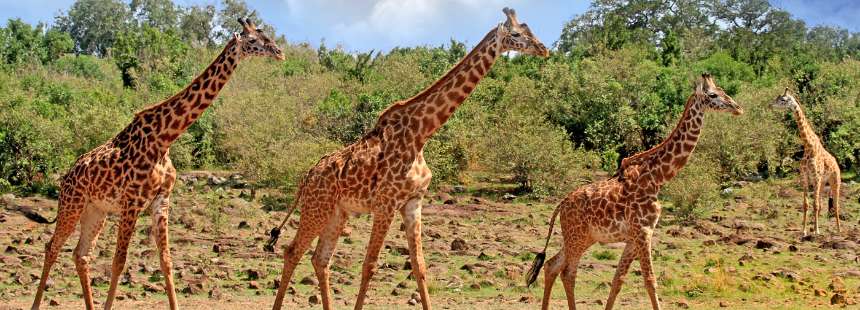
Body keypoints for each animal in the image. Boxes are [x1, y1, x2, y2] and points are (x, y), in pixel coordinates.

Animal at [30, 18, 284, 310]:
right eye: (253, 41)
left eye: (267, 36)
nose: (279, 53)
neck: (164, 139)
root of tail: (67, 176)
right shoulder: (131, 202)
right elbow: (119, 262)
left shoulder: (161, 200)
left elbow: (166, 261)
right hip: (72, 204)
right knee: (52, 247)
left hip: (96, 211)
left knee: (81, 254)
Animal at [270, 6, 552, 310]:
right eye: (516, 34)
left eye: (530, 29)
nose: (544, 49)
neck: (421, 134)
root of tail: (307, 177)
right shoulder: (385, 203)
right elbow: (370, 265)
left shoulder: (413, 202)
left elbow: (419, 266)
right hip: (317, 208)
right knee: (292, 252)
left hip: (337, 212)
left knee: (320, 259)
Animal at [772, 88, 840, 236]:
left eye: (783, 100)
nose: (770, 105)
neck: (808, 146)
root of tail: (836, 163)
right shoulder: (805, 177)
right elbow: (806, 204)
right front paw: (804, 231)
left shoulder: (816, 177)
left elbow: (815, 205)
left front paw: (816, 231)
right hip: (823, 182)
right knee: (822, 203)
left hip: (835, 181)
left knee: (836, 205)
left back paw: (838, 229)